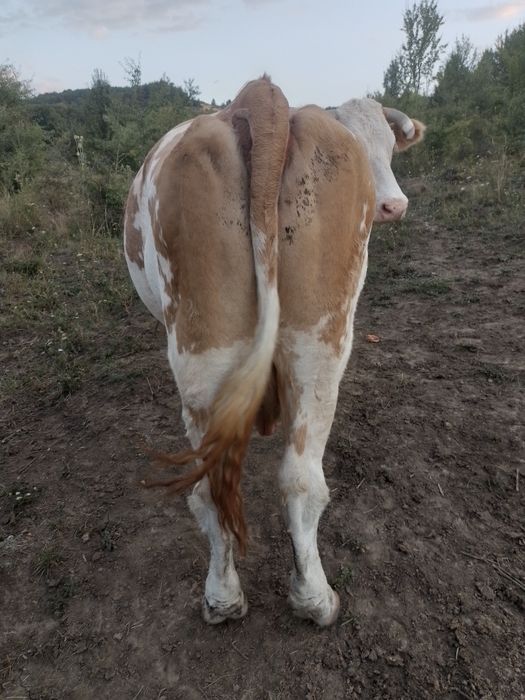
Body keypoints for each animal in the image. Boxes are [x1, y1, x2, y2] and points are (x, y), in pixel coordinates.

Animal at [124, 76, 424, 627]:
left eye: (392, 147)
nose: (393, 205)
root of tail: (262, 99)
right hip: (318, 337)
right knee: (289, 477)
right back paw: (307, 597)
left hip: (217, 343)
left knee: (222, 481)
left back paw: (232, 597)